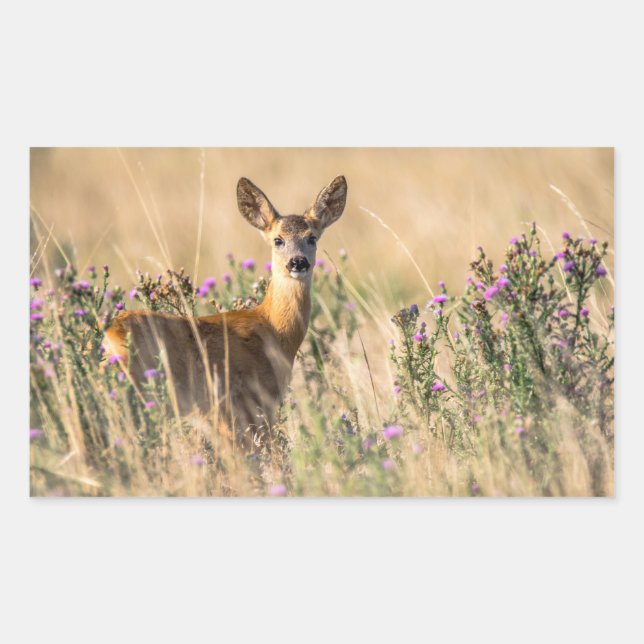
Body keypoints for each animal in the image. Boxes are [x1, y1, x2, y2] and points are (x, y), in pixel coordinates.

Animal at [103, 175, 347, 448]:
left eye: (312, 238)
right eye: (278, 240)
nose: (298, 262)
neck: (274, 330)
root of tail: (108, 337)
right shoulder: (247, 402)